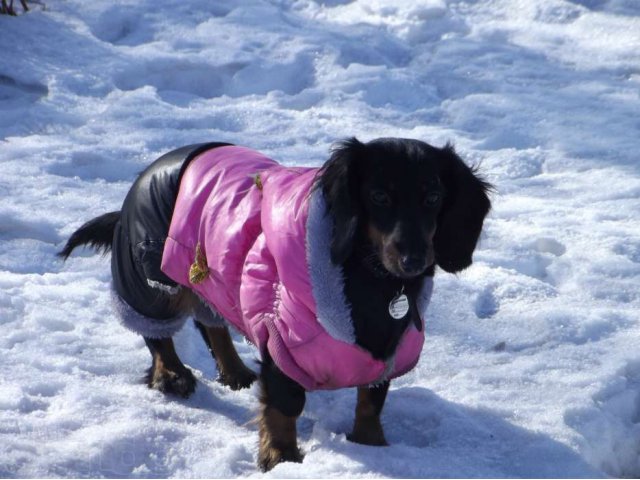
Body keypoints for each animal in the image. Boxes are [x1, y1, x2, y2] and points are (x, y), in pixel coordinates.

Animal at [58, 137, 490, 470]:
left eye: (433, 197)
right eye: (379, 196)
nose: (414, 259)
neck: (372, 283)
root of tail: (152, 168)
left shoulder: (386, 350)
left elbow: (371, 400)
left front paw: (372, 444)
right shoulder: (281, 340)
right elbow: (284, 405)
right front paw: (280, 458)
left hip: (213, 276)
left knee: (211, 321)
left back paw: (233, 371)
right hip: (153, 276)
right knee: (157, 333)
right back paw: (172, 375)